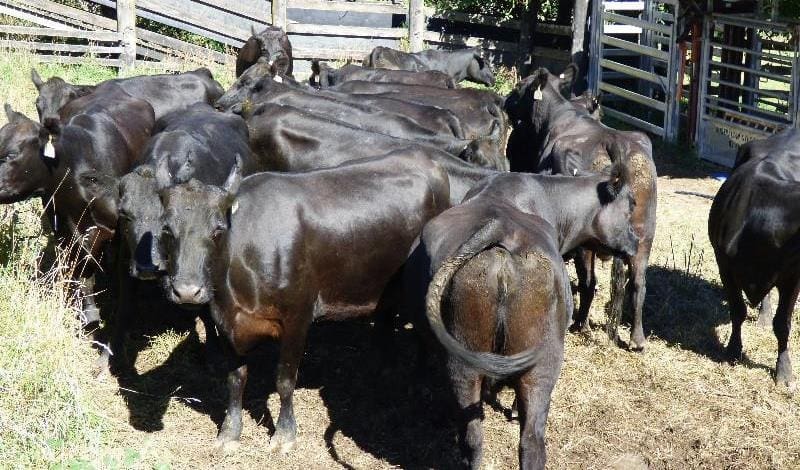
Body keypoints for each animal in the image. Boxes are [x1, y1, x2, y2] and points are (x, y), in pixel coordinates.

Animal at [156, 149, 451, 452]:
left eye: (218, 230)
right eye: (166, 229)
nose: (187, 291)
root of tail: (425, 158)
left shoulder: (297, 318)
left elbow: (285, 380)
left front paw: (285, 434)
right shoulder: (225, 322)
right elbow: (236, 378)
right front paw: (230, 432)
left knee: (421, 335)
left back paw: (419, 382)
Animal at [504, 65, 657, 350]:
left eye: (519, 86)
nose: (506, 101)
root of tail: (614, 142)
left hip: (586, 239)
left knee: (589, 281)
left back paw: (581, 323)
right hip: (645, 234)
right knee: (638, 283)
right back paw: (637, 339)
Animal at [708, 128, 800, 388]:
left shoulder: (793, 276)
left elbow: (783, 324)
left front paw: (784, 371)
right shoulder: (725, 266)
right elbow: (737, 311)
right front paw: (733, 350)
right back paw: (763, 315)